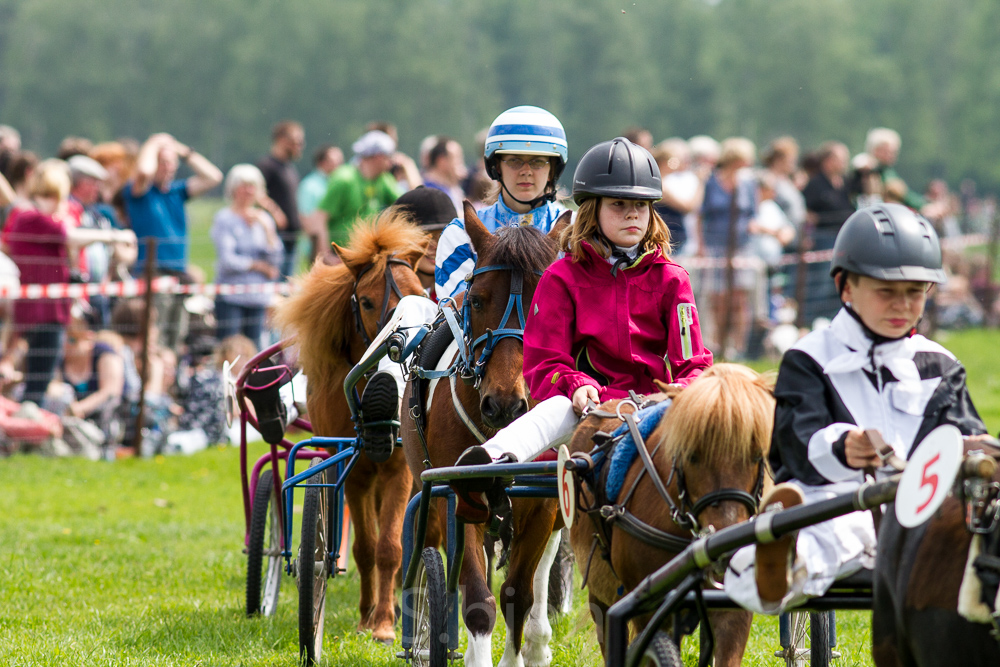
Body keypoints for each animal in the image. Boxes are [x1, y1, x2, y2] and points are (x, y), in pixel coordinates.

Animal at [274, 210, 426, 648]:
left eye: (418, 291)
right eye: (368, 300)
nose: (396, 345)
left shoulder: (398, 470)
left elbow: (390, 547)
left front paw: (385, 624)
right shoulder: (355, 473)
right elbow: (365, 547)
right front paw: (366, 617)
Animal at [398, 204, 572, 667]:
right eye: (476, 300)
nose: (505, 403)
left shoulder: (541, 505)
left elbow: (518, 594)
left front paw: (525, 648)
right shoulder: (458, 498)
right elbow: (479, 599)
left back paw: (539, 640)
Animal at [568, 366, 776, 667]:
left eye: (756, 454)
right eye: (691, 454)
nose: (726, 546)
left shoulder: (733, 608)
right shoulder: (647, 610)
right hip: (601, 592)